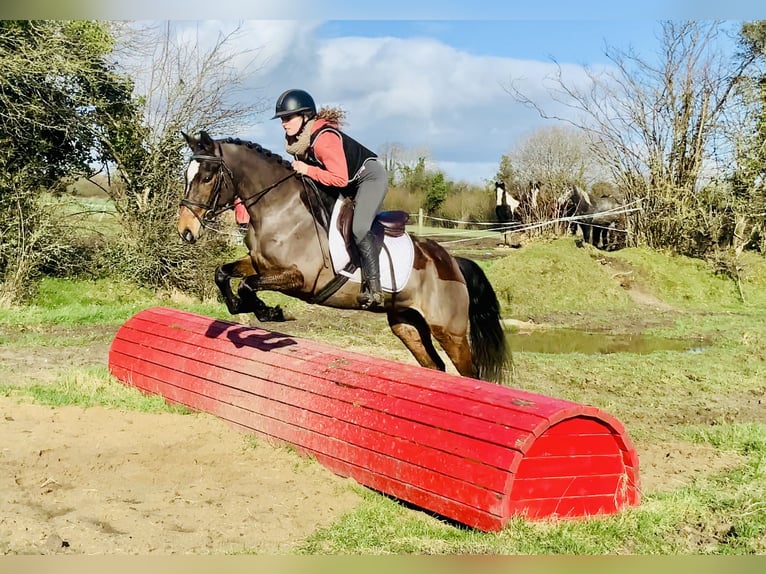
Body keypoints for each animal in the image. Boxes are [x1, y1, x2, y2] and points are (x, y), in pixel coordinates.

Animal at [178, 130, 512, 382]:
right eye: (187, 175)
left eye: (207, 177)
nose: (185, 231)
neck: (279, 208)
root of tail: (453, 262)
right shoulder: (259, 264)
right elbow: (224, 274)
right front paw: (241, 307)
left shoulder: (299, 278)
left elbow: (247, 285)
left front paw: (272, 313)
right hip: (407, 324)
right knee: (435, 365)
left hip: (450, 331)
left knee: (470, 373)